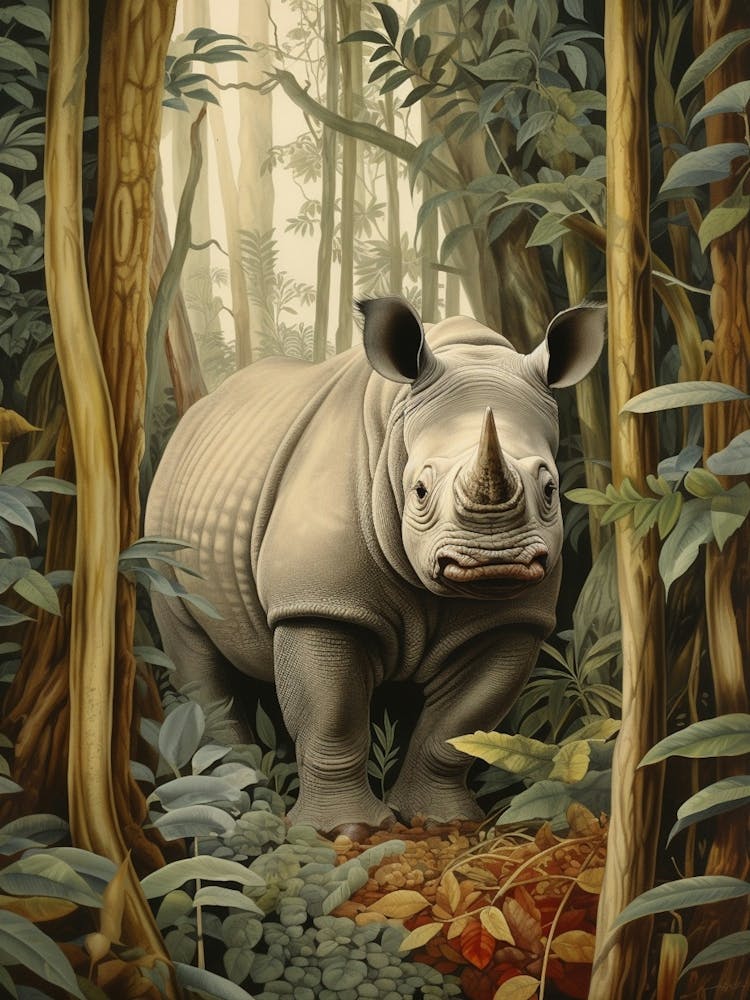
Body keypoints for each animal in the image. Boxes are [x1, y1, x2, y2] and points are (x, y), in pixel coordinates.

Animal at [145, 297, 604, 834]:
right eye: (420, 491)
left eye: (550, 488)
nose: (494, 560)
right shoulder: (320, 605)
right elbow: (333, 716)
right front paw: (345, 830)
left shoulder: (513, 619)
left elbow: (459, 723)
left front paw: (442, 822)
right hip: (161, 527)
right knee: (194, 652)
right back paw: (237, 797)